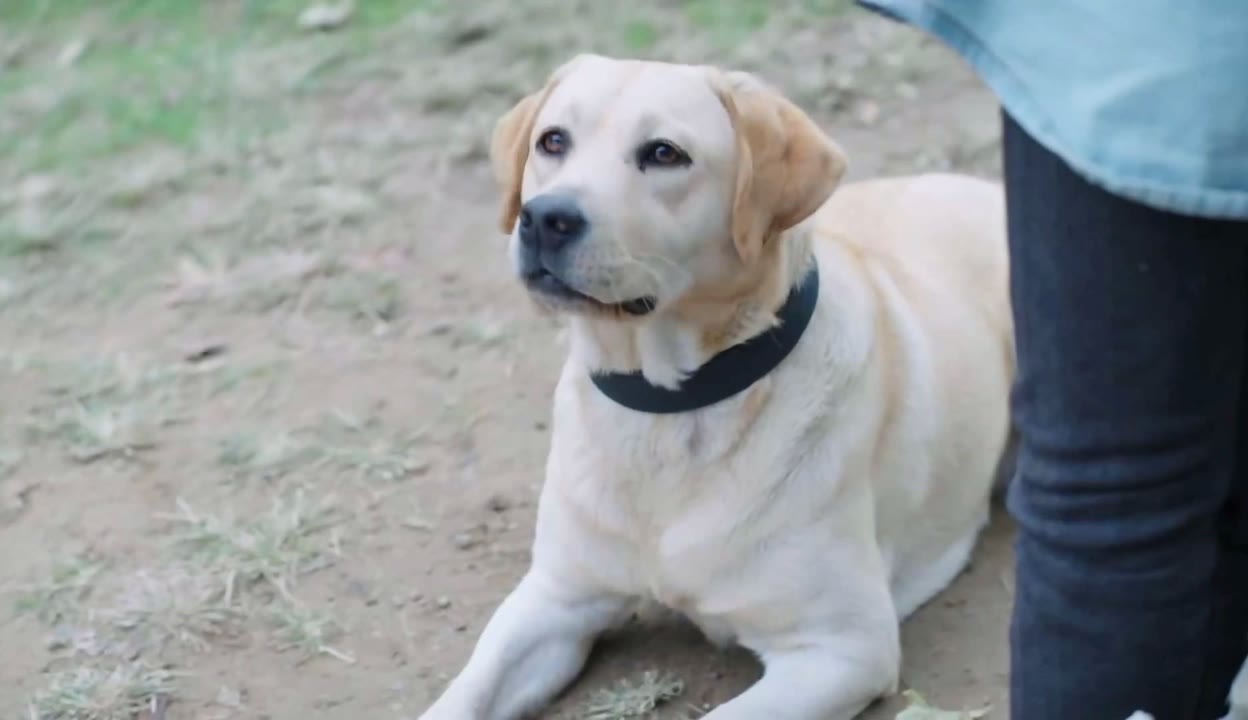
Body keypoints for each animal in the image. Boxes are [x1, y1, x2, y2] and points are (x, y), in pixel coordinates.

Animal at [419, 56, 1013, 718]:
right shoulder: (555, 597)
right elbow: (463, 693)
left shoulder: (842, 647)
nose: (545, 218)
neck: (671, 407)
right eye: (552, 142)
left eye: (664, 153)